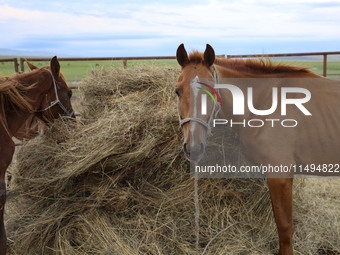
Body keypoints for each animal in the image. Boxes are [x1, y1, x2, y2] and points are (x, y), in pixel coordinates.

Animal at [177, 44, 338, 255]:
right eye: (177, 91)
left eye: (211, 90)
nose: (193, 147)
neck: (265, 102)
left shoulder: (280, 174)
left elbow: (285, 228)